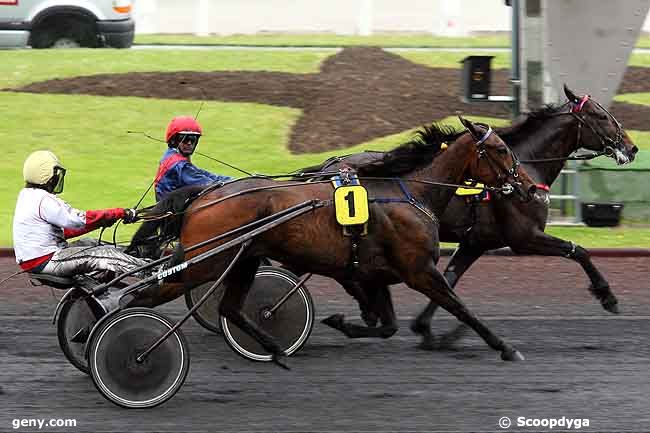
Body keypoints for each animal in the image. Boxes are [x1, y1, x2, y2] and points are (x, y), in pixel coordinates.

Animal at [132, 117, 536, 362]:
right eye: (501, 149)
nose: (530, 187)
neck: (409, 193)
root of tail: (202, 198)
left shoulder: (375, 274)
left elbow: (387, 324)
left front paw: (344, 322)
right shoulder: (420, 271)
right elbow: (462, 308)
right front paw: (505, 347)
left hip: (241, 258)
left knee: (227, 304)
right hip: (209, 260)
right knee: (149, 293)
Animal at [298, 85, 636, 348]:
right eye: (601, 116)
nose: (631, 148)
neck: (523, 166)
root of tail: (327, 167)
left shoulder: (476, 242)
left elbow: (449, 278)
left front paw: (427, 329)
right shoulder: (524, 237)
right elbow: (578, 251)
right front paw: (607, 296)